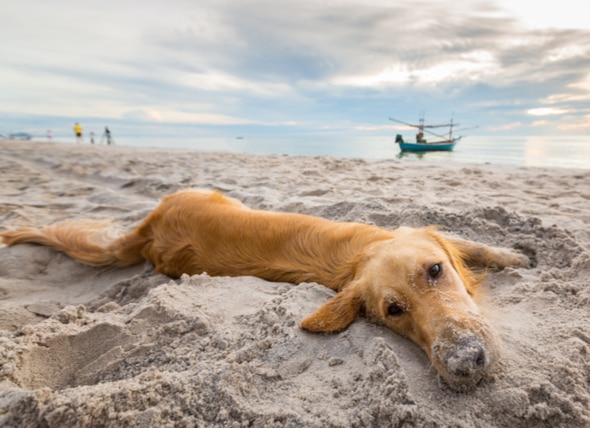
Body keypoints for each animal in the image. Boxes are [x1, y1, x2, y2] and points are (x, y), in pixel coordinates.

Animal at [1, 189, 532, 390]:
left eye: (437, 271)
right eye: (394, 311)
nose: (465, 364)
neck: (361, 254)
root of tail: (148, 226)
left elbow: (472, 243)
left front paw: (514, 254)